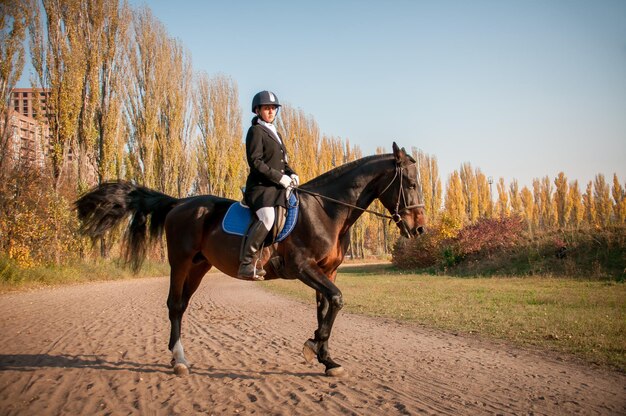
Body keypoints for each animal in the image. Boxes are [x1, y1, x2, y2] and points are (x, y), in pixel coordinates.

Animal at [74, 142, 424, 376]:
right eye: (410, 183)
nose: (419, 228)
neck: (327, 211)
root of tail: (180, 203)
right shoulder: (304, 268)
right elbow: (336, 301)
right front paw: (313, 347)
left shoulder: (328, 272)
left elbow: (326, 308)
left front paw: (326, 359)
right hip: (180, 262)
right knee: (174, 306)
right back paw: (180, 361)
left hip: (199, 267)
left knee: (182, 306)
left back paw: (177, 356)